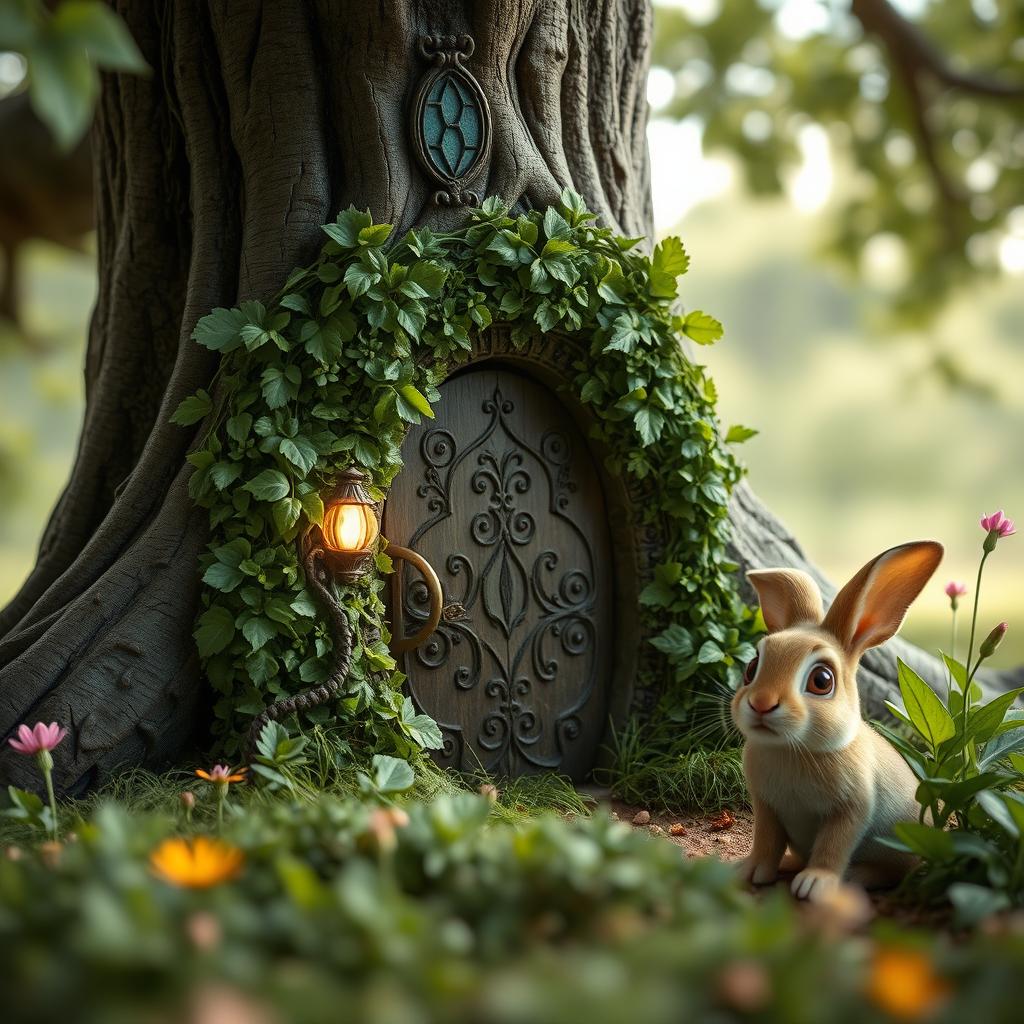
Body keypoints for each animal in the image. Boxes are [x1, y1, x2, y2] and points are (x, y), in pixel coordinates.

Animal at [729, 540, 942, 901]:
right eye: (752, 667)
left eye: (822, 681)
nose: (761, 704)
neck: (794, 750)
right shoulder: (766, 808)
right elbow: (766, 842)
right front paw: (751, 871)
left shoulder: (852, 810)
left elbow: (833, 848)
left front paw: (814, 884)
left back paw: (855, 876)